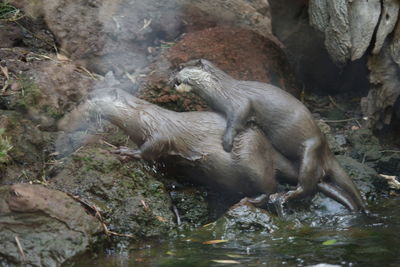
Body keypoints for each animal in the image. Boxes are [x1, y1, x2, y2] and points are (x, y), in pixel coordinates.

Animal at [173, 59, 368, 214]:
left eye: (181, 67)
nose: (173, 75)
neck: (222, 90)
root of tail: (326, 146)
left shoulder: (239, 103)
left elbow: (237, 121)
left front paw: (227, 142)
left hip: (310, 151)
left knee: (309, 184)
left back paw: (287, 195)